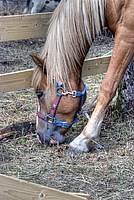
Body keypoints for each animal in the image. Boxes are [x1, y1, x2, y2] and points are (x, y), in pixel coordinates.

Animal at [30, 0, 134, 153]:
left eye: (39, 93)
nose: (39, 135)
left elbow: (107, 87)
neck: (108, 4)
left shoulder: (126, 35)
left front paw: (83, 138)